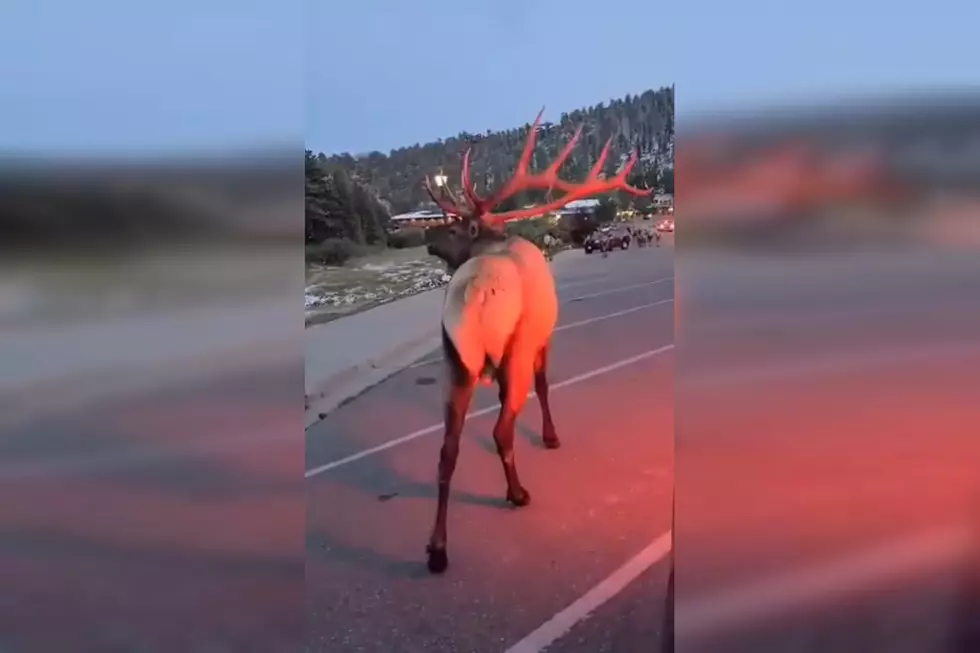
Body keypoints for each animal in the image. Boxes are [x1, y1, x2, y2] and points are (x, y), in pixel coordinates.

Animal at [422, 109, 652, 572]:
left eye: (452, 228)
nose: (425, 237)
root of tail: (476, 293)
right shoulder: (544, 338)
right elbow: (546, 387)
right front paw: (551, 436)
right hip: (517, 348)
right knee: (501, 429)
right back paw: (517, 493)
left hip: (456, 360)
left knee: (447, 450)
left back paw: (437, 548)